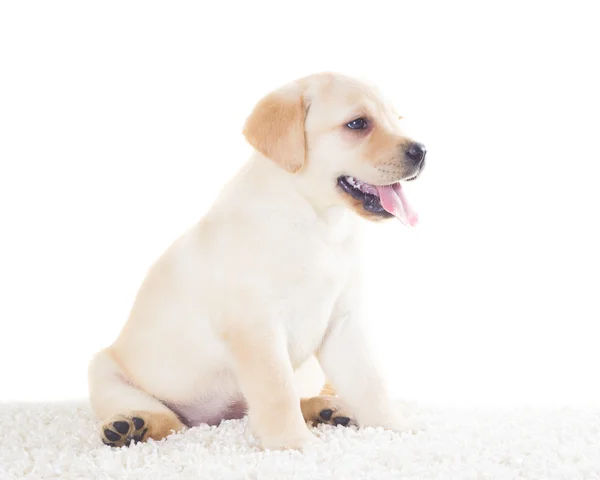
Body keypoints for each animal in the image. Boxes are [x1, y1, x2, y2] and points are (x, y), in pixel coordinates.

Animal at [89, 71, 426, 450]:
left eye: (397, 120)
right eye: (358, 124)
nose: (421, 151)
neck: (316, 223)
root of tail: (216, 418)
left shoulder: (344, 322)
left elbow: (371, 383)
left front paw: (396, 427)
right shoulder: (257, 329)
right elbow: (277, 391)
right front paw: (294, 443)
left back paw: (329, 408)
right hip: (106, 373)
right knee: (169, 420)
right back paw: (133, 425)